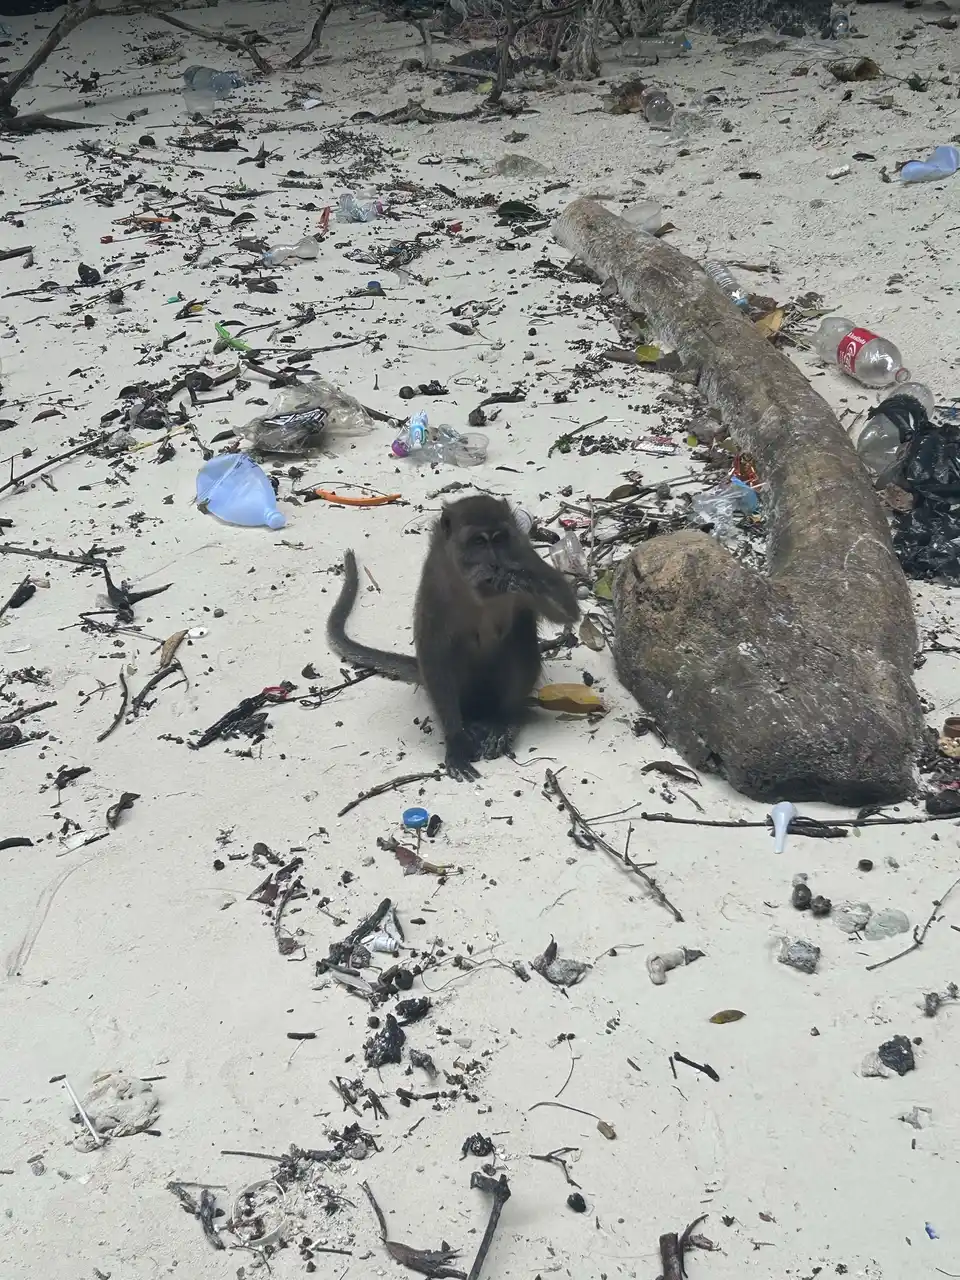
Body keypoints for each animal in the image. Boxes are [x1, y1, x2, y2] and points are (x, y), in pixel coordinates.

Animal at [326, 495, 580, 781]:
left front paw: (519, 579)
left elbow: (568, 610)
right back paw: (469, 726)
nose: (494, 563)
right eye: (479, 541)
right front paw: (456, 739)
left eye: (499, 539)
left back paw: (503, 720)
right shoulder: (435, 580)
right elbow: (434, 653)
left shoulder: (522, 551)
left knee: (519, 636)